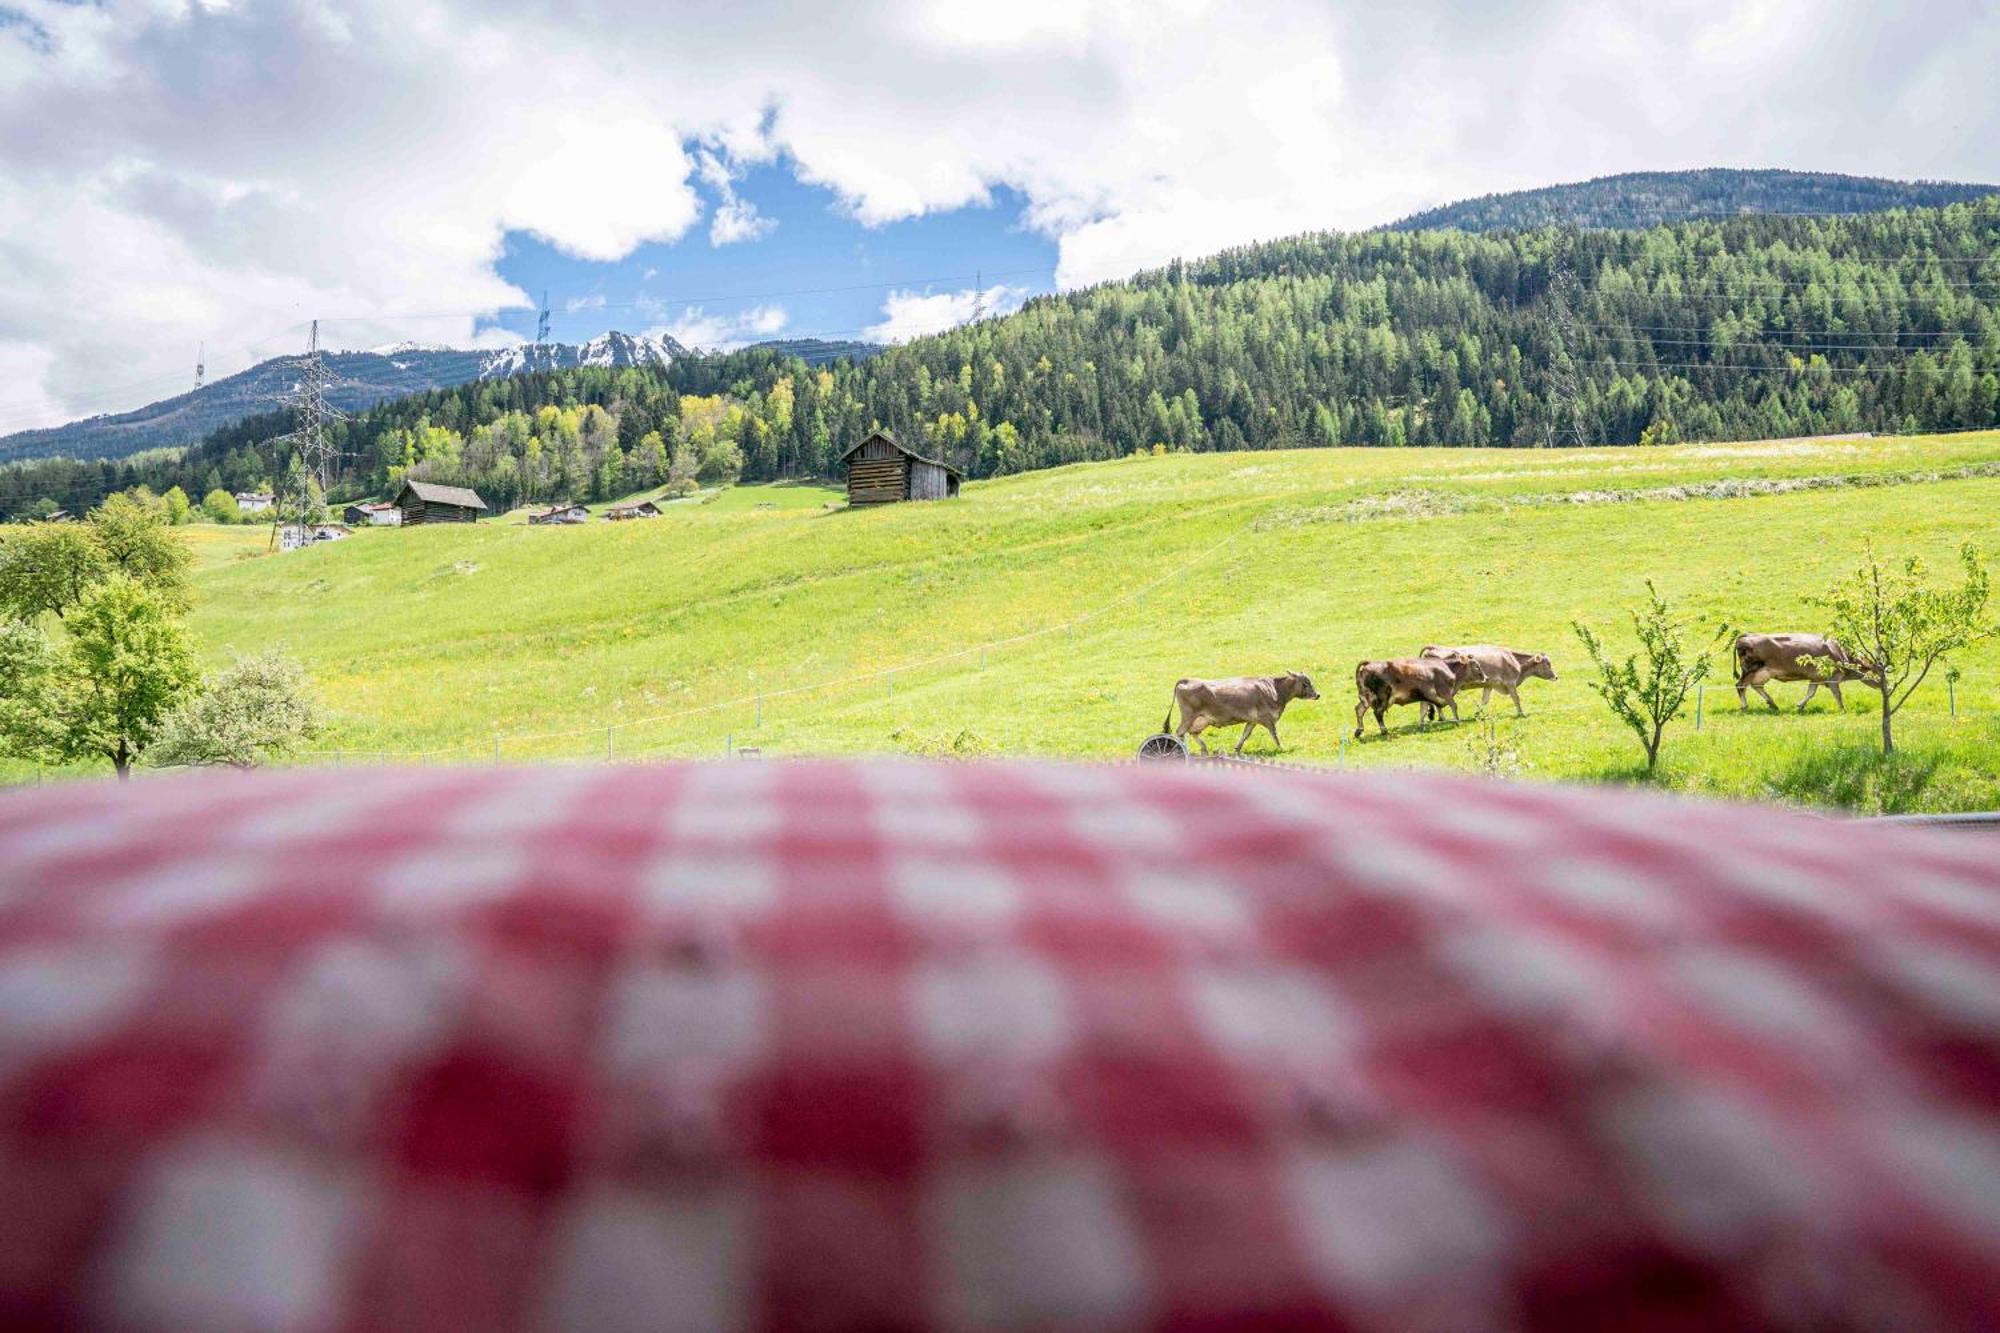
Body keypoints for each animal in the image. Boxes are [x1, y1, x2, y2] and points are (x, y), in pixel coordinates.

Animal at [1168, 668, 1320, 752]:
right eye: (1305, 683)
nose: (1317, 695)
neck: (1276, 690)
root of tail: (1187, 680)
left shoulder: (1252, 720)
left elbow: (1245, 734)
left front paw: (1237, 749)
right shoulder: (1268, 718)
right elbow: (1274, 735)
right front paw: (1282, 748)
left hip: (1202, 720)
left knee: (1191, 733)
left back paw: (1203, 748)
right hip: (1189, 716)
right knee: (1179, 732)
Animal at [1352, 652, 1480, 736]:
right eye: (1477, 666)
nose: (1484, 677)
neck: (1447, 667)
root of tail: (1369, 664)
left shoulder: (1425, 697)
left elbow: (1423, 710)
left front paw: (1422, 726)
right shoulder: (1445, 692)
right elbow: (1453, 705)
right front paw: (1457, 722)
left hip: (1369, 697)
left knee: (1359, 709)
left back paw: (1359, 731)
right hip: (1382, 696)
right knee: (1378, 712)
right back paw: (1384, 731)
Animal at [1424, 644, 1560, 716]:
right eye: (1547, 664)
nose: (1556, 676)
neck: (1513, 659)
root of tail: (1433, 647)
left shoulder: (1490, 684)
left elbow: (1485, 700)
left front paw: (1477, 714)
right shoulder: (1510, 682)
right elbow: (1516, 698)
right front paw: (1521, 714)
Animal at [1736, 632, 1872, 712]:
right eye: (1875, 669)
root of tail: (1746, 636)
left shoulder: (1815, 678)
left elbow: (1810, 693)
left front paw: (1800, 706)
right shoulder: (1832, 677)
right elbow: (1837, 694)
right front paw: (1843, 710)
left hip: (1762, 673)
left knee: (1756, 686)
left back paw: (1772, 704)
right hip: (1751, 670)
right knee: (1740, 686)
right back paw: (1744, 707)